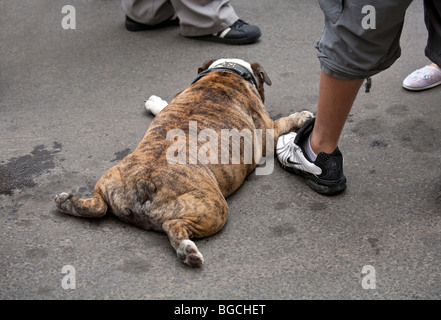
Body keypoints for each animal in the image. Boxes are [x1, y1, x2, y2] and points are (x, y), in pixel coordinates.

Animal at [53, 58, 312, 266]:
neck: (225, 72)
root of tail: (144, 181)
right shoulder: (268, 130)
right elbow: (284, 121)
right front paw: (303, 116)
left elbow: (163, 105)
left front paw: (154, 102)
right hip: (213, 208)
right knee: (173, 226)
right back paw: (187, 250)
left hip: (109, 179)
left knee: (98, 205)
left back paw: (69, 203)